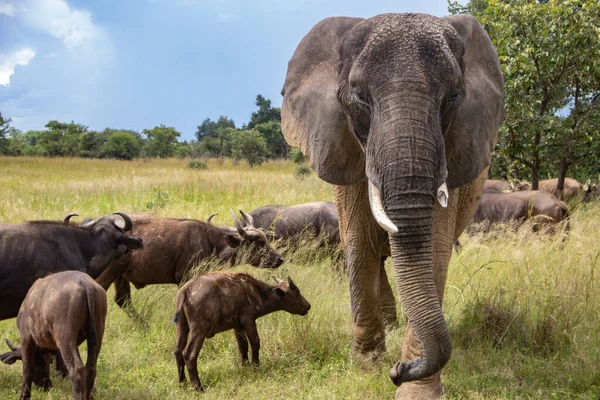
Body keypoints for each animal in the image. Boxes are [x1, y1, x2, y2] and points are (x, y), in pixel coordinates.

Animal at [2, 270, 108, 398]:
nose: (46, 386)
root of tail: (84, 281)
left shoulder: (25, 338)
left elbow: (27, 369)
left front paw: (24, 396)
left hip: (65, 337)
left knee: (76, 369)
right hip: (98, 331)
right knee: (90, 367)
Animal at [95, 211, 286, 310]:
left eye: (266, 240)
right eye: (259, 243)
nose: (280, 259)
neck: (209, 242)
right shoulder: (185, 279)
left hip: (121, 276)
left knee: (123, 301)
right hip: (107, 275)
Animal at [173, 272, 312, 390]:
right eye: (297, 292)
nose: (308, 305)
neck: (256, 293)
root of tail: (186, 290)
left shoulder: (237, 326)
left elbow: (242, 345)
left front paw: (245, 366)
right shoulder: (248, 320)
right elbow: (255, 342)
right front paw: (256, 367)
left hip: (182, 327)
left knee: (178, 351)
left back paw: (182, 383)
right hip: (199, 330)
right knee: (189, 354)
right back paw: (198, 387)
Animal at [278, 11, 504, 396]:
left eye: (454, 95)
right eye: (358, 94)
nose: (398, 371)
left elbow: (433, 252)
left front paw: (415, 391)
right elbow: (359, 244)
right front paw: (367, 366)